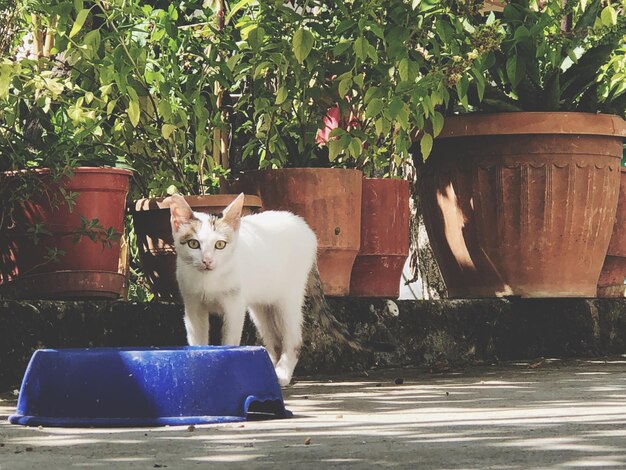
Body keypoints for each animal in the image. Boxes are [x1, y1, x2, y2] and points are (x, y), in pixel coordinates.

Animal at [163, 193, 316, 388]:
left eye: (220, 245)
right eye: (193, 244)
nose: (207, 261)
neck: (208, 280)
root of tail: (300, 222)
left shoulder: (234, 304)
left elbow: (230, 340)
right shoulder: (192, 304)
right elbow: (197, 340)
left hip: (289, 295)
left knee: (293, 336)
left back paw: (282, 373)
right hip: (261, 303)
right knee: (273, 337)